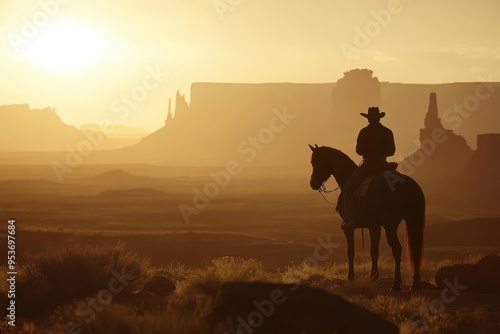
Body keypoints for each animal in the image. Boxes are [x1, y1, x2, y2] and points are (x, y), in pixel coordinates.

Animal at [308, 145, 426, 290]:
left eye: (314, 162)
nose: (312, 183)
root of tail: (407, 184)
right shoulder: (374, 226)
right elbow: (374, 251)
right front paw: (374, 278)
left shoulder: (348, 228)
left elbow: (351, 252)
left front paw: (351, 278)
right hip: (411, 220)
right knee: (416, 249)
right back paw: (415, 284)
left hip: (390, 225)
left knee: (397, 249)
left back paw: (395, 285)